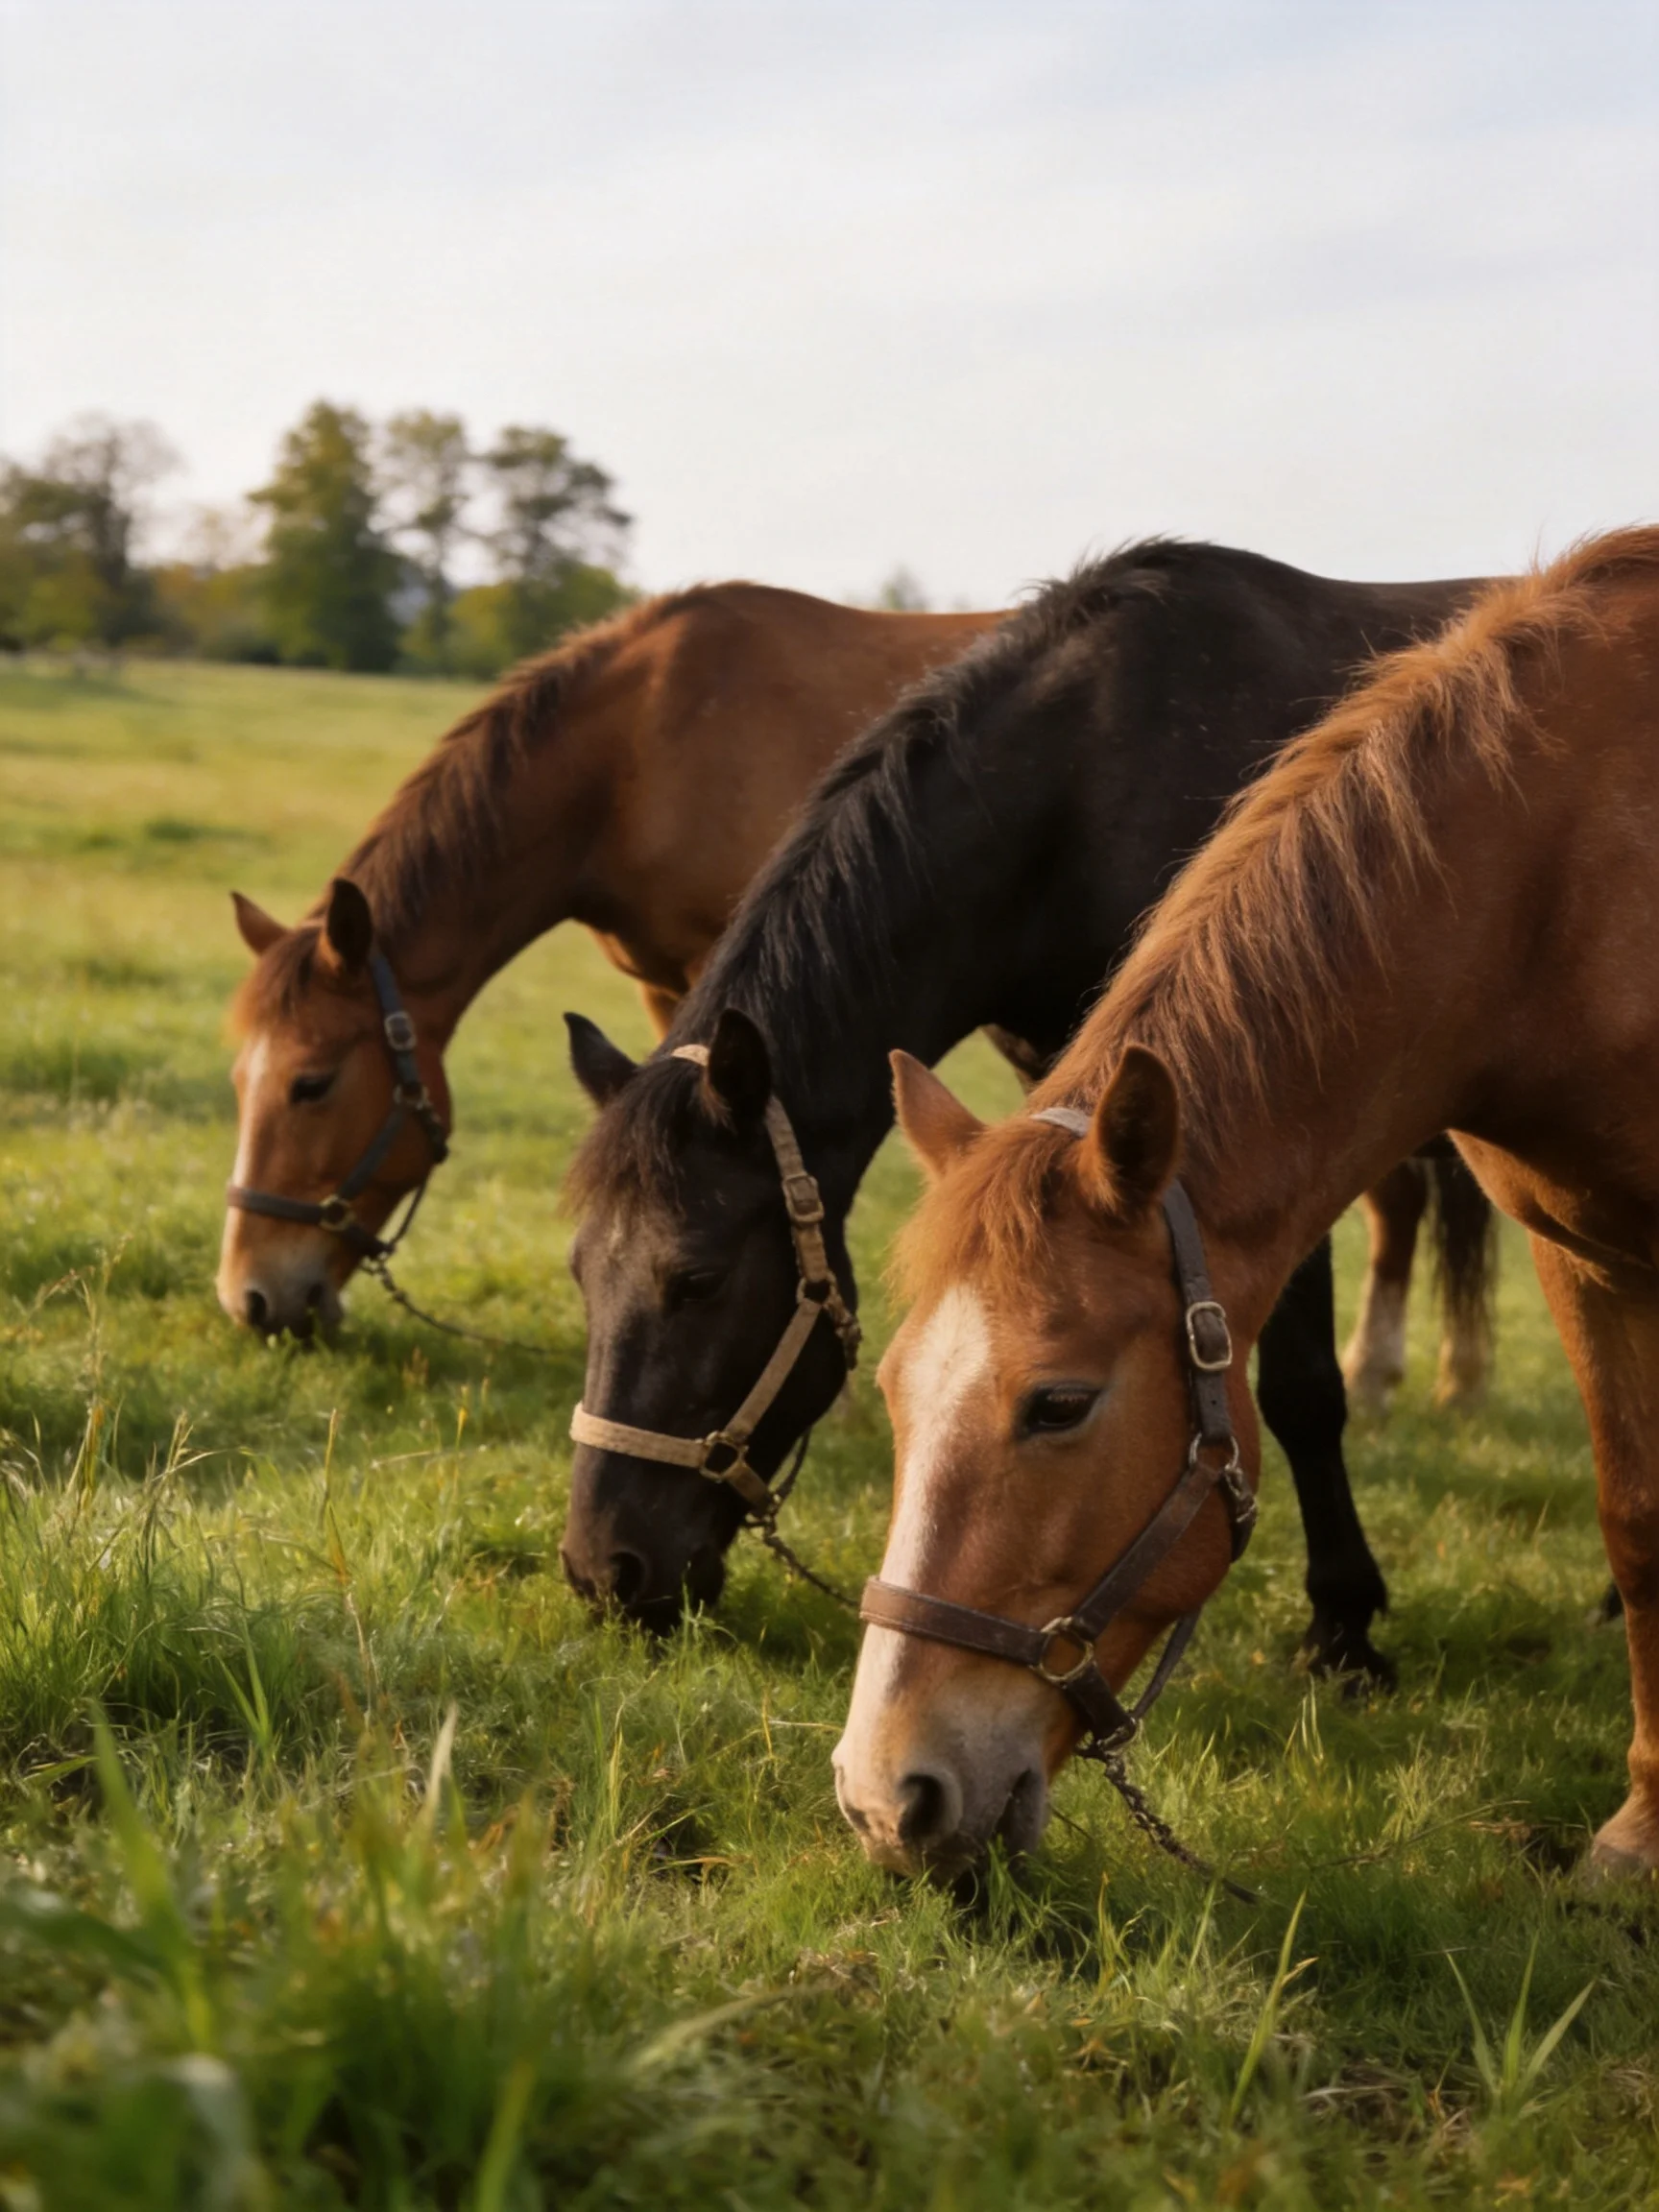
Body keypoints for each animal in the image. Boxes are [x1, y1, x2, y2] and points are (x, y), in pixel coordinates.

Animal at [561, 539, 1491, 1672]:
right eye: (580, 1275)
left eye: (693, 1280)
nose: (604, 1571)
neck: (1089, 776)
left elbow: (1304, 1390)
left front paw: (1344, 1622)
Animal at [834, 527, 1659, 1883]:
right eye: (894, 1391)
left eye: (1058, 1405)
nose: (883, 1793)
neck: (1568, 871)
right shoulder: (1583, 1254)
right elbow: (1637, 1521)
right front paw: (1639, 1837)